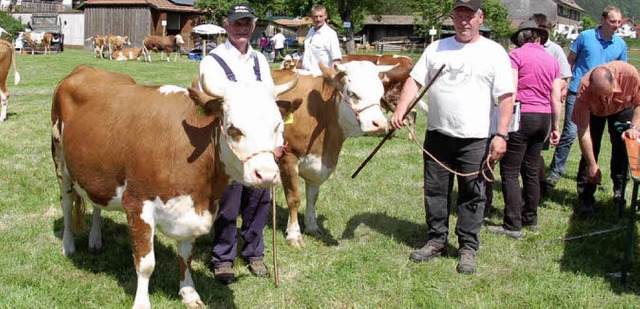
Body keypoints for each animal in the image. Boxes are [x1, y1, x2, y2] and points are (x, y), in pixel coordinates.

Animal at [52, 63, 298, 306]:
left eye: (277, 126)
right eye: (233, 128)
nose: (266, 175)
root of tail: (86, 68)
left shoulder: (192, 210)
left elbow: (186, 256)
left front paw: (189, 293)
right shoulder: (138, 204)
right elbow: (146, 264)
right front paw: (142, 302)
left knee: (96, 204)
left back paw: (95, 241)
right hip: (60, 161)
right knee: (66, 203)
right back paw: (68, 245)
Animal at [272, 61, 392, 247]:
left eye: (380, 94)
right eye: (352, 93)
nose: (379, 124)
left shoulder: (319, 165)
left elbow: (312, 197)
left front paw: (312, 227)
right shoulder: (288, 157)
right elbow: (294, 198)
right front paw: (294, 234)